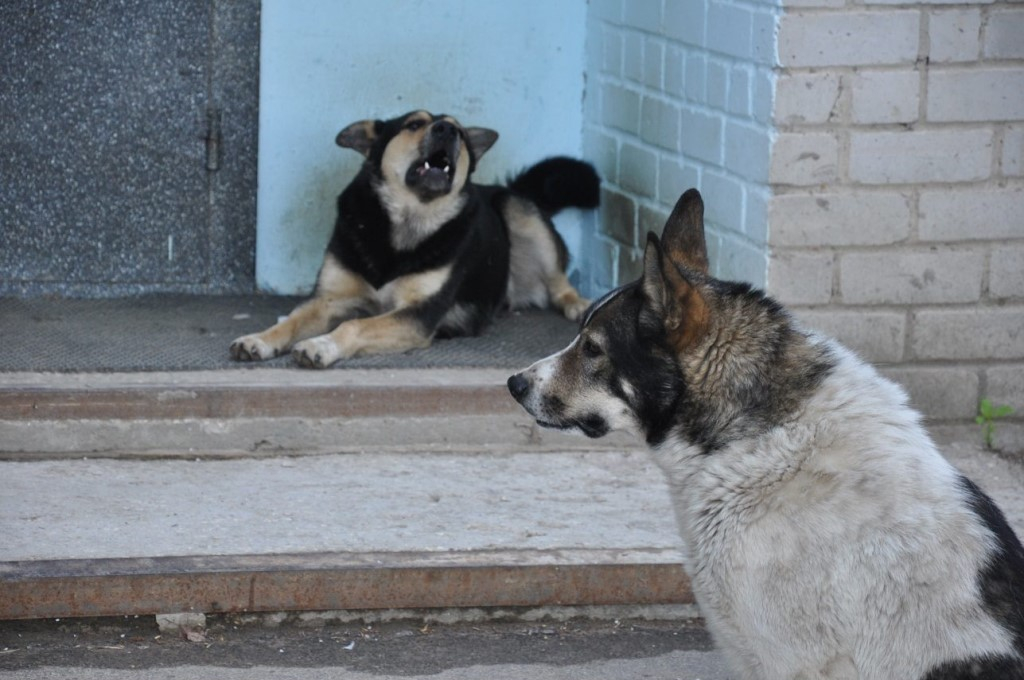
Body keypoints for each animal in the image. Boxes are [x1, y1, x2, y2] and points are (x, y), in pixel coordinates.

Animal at [230, 110, 598, 366]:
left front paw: (321, 344)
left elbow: (353, 327)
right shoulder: (331, 298)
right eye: (413, 124)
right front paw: (259, 339)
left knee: (558, 280)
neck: (409, 218)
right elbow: (293, 320)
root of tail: (500, 187)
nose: (447, 130)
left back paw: (580, 304)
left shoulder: (418, 314)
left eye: (459, 130)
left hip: (519, 210)